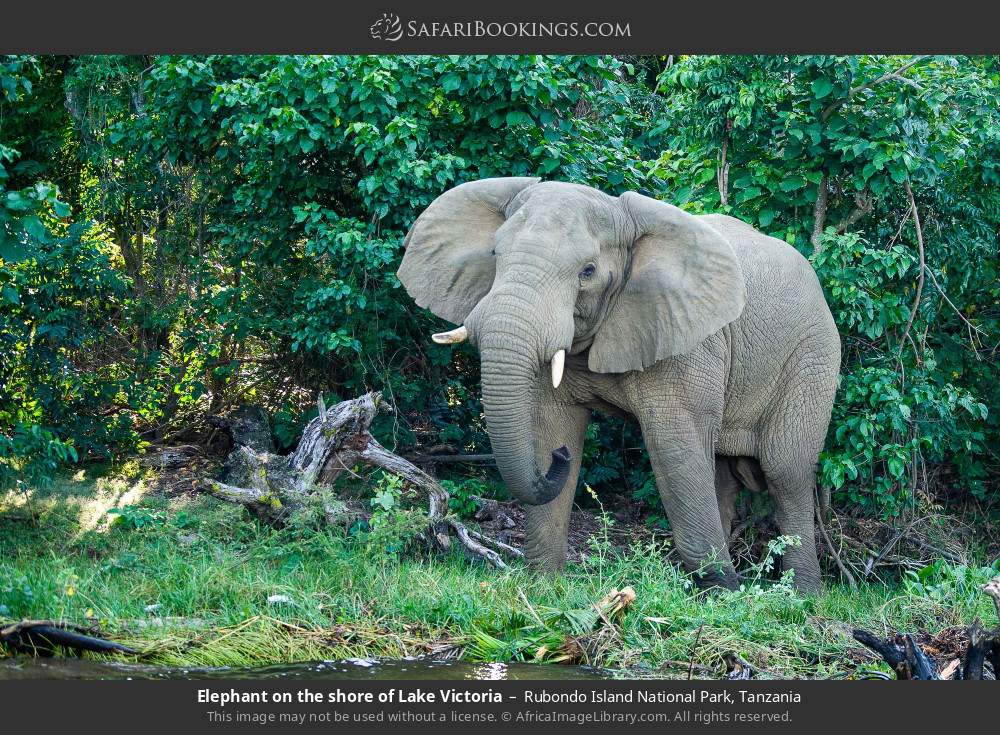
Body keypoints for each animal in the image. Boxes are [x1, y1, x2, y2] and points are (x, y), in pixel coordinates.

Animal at [396, 178, 841, 593]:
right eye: (494, 255)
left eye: (588, 272)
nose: (556, 460)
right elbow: (552, 424)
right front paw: (544, 585)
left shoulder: (687, 339)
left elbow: (674, 448)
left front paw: (723, 597)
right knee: (722, 474)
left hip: (814, 355)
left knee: (785, 470)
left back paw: (800, 598)